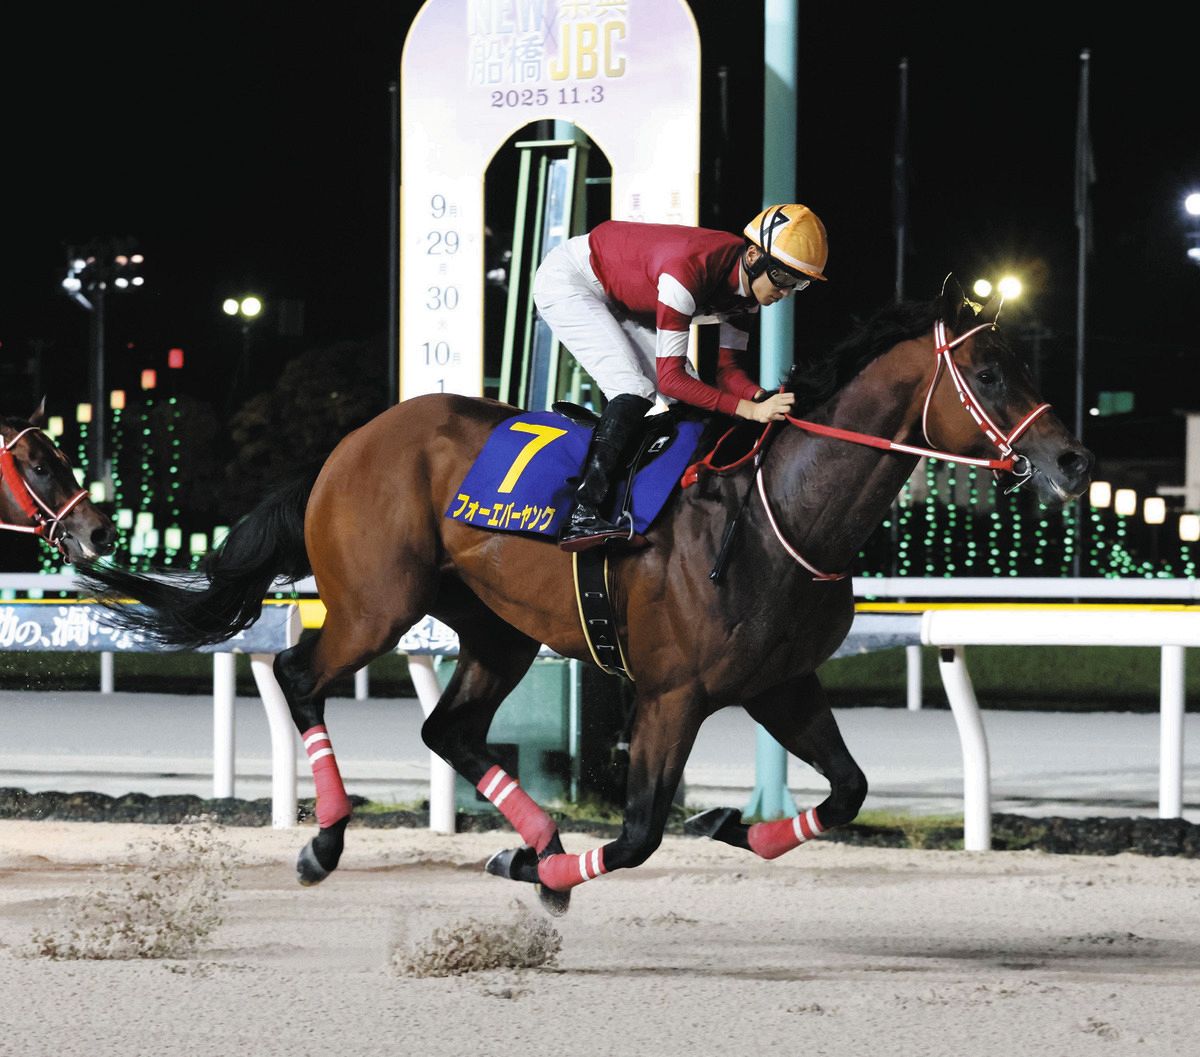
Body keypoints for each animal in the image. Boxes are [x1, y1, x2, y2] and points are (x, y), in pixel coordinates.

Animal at [77, 278, 1092, 913]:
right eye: (990, 372)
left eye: (1024, 363)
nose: (1073, 459)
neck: (780, 511)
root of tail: (348, 441)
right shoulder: (674, 693)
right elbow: (640, 833)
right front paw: (562, 871)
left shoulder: (780, 683)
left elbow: (847, 791)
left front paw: (720, 822)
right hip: (374, 605)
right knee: (296, 672)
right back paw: (327, 840)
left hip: (497, 628)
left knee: (448, 727)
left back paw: (531, 838)